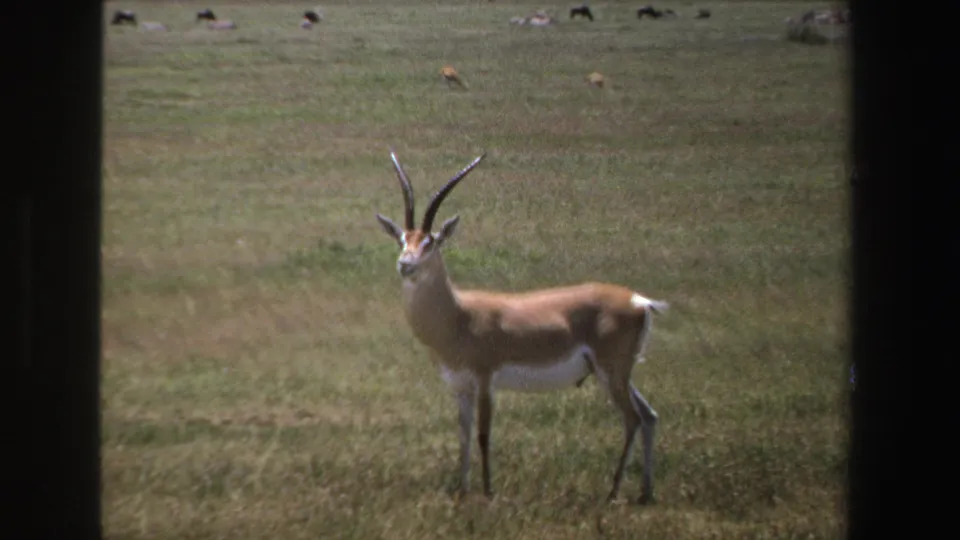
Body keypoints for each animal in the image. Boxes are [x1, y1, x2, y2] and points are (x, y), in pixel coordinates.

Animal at [375, 151, 669, 504]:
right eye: (403, 239)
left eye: (430, 242)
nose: (405, 265)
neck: (458, 316)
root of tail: (639, 300)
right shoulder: (461, 388)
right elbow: (463, 436)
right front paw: (463, 491)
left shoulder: (486, 380)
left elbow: (483, 434)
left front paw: (488, 492)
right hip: (616, 374)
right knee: (649, 416)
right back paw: (645, 492)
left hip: (611, 372)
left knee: (633, 419)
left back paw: (613, 493)